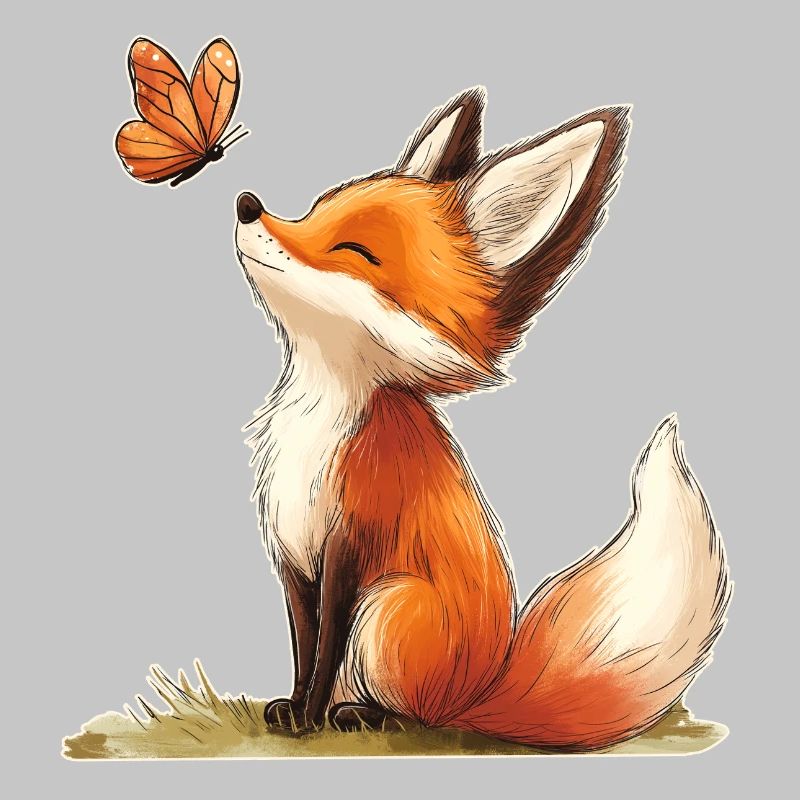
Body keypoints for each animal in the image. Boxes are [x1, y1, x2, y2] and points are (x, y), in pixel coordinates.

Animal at [233, 87, 730, 751]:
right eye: (313, 210)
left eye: (355, 252)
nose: (247, 205)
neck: (317, 420)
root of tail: (482, 690)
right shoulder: (291, 554)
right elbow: (303, 646)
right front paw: (291, 708)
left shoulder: (349, 547)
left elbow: (325, 645)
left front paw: (308, 720)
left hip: (388, 608)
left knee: (419, 713)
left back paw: (364, 715)